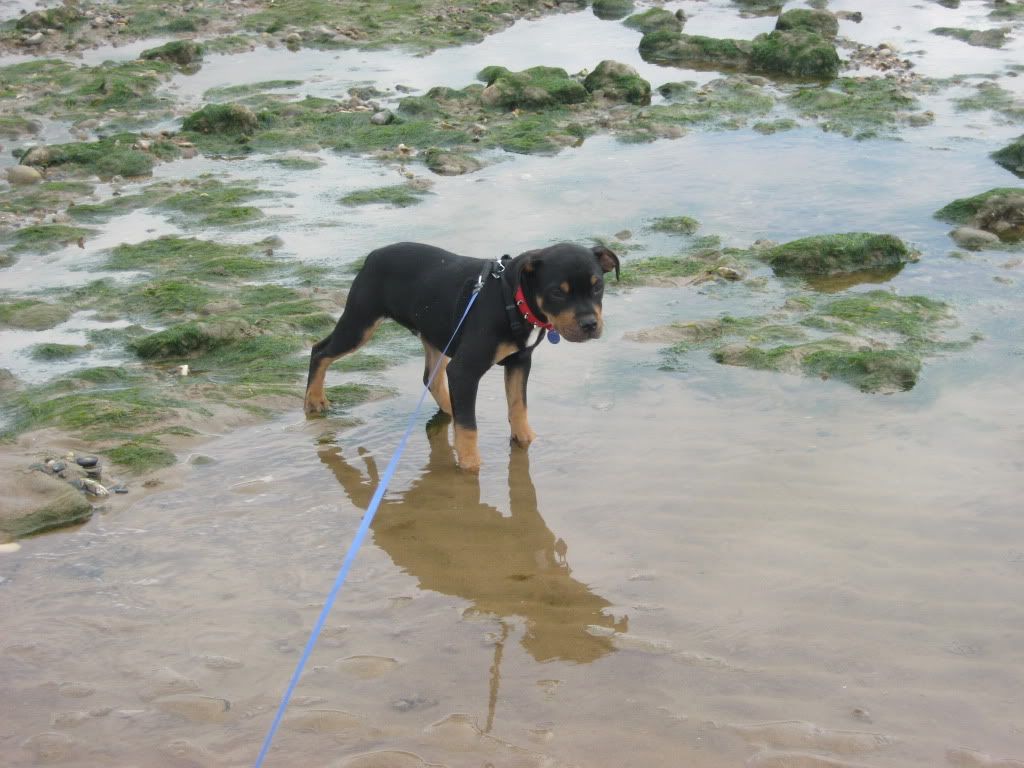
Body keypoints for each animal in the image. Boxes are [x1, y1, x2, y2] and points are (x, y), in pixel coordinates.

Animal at [303, 241, 618, 468]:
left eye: (598, 287)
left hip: (435, 333)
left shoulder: (520, 361)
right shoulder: (466, 370)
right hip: (360, 323)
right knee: (320, 350)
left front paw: (526, 440)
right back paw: (314, 399)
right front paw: (470, 464)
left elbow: (518, 405)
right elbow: (469, 427)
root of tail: (373, 255)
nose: (590, 324)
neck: (513, 301)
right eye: (557, 293)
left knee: (431, 377)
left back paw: (450, 409)